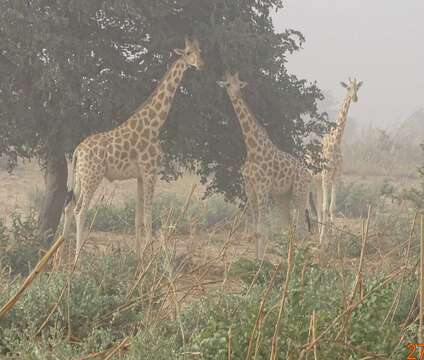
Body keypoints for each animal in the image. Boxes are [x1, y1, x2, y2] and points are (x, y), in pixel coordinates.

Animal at [61, 38, 205, 260]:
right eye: (189, 52)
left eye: (200, 51)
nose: (201, 64)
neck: (155, 125)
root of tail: (78, 151)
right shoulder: (150, 170)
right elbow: (148, 215)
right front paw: (148, 257)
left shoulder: (139, 176)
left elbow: (138, 218)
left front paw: (137, 257)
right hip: (92, 176)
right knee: (79, 210)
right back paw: (78, 258)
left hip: (79, 176)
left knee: (68, 207)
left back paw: (59, 258)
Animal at [219, 71, 312, 258]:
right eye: (228, 84)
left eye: (239, 84)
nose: (236, 94)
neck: (252, 149)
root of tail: (307, 174)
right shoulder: (250, 188)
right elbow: (256, 229)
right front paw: (255, 259)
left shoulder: (262, 187)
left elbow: (262, 228)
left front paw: (260, 260)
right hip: (282, 197)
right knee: (289, 226)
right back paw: (289, 258)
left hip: (299, 193)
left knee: (302, 227)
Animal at [318, 77, 364, 243]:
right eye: (348, 88)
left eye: (358, 88)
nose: (355, 98)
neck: (336, 142)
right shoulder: (326, 175)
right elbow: (326, 207)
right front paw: (322, 240)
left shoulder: (336, 176)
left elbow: (332, 207)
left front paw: (331, 239)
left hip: (318, 181)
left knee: (318, 204)